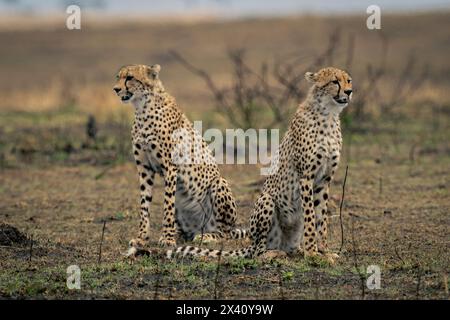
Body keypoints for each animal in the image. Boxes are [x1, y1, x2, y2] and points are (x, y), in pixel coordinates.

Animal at [112, 63, 246, 256]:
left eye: (130, 77)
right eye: (118, 77)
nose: (116, 89)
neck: (142, 108)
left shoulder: (170, 168)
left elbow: (167, 205)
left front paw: (167, 239)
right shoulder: (144, 169)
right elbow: (144, 205)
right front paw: (142, 238)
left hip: (219, 183)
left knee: (224, 232)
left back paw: (207, 236)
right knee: (189, 230)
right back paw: (180, 234)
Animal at [167, 65, 354, 262]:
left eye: (348, 80)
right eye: (335, 81)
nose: (349, 92)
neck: (329, 114)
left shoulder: (324, 180)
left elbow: (321, 218)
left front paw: (324, 251)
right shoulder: (306, 177)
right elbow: (311, 217)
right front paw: (313, 253)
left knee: (286, 247)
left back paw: (293, 251)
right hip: (266, 201)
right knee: (258, 250)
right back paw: (271, 253)